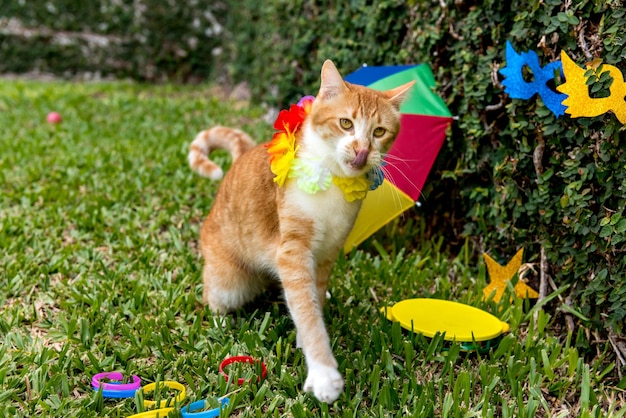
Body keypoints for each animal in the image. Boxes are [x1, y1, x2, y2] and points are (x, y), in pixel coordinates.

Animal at [188, 60, 412, 404]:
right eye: (346, 123)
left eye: (379, 132)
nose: (361, 151)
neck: (333, 181)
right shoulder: (293, 250)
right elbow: (307, 312)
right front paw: (322, 371)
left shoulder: (328, 251)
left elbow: (312, 299)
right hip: (228, 281)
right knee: (215, 294)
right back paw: (220, 318)